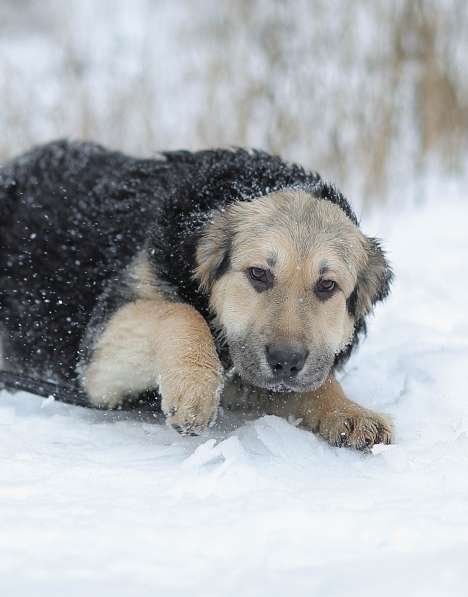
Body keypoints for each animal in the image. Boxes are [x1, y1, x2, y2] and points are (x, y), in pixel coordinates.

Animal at [0, 140, 394, 448]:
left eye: (327, 286)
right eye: (258, 274)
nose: (286, 361)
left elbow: (316, 380)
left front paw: (346, 409)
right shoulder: (99, 360)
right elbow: (181, 312)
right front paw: (196, 386)